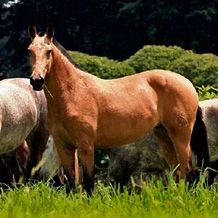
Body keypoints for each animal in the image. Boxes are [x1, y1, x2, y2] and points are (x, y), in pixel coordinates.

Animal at [28, 25, 209, 194]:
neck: (74, 92)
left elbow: (88, 183)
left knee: (188, 172)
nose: (36, 81)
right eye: (30, 51)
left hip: (181, 137)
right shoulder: (64, 146)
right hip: (164, 136)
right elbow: (72, 184)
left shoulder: (86, 145)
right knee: (177, 172)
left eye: (49, 51)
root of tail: (187, 83)